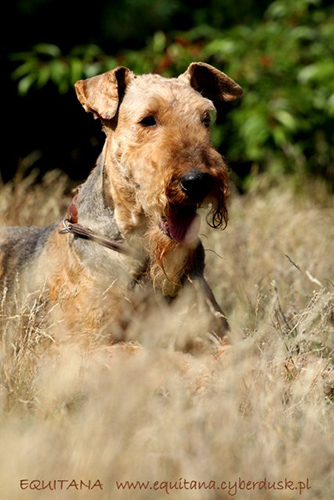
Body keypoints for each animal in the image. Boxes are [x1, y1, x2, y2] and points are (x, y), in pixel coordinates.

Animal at [0, 62, 241, 350]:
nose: (198, 181)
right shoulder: (81, 345)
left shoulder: (219, 335)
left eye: (205, 118)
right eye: (148, 119)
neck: (143, 255)